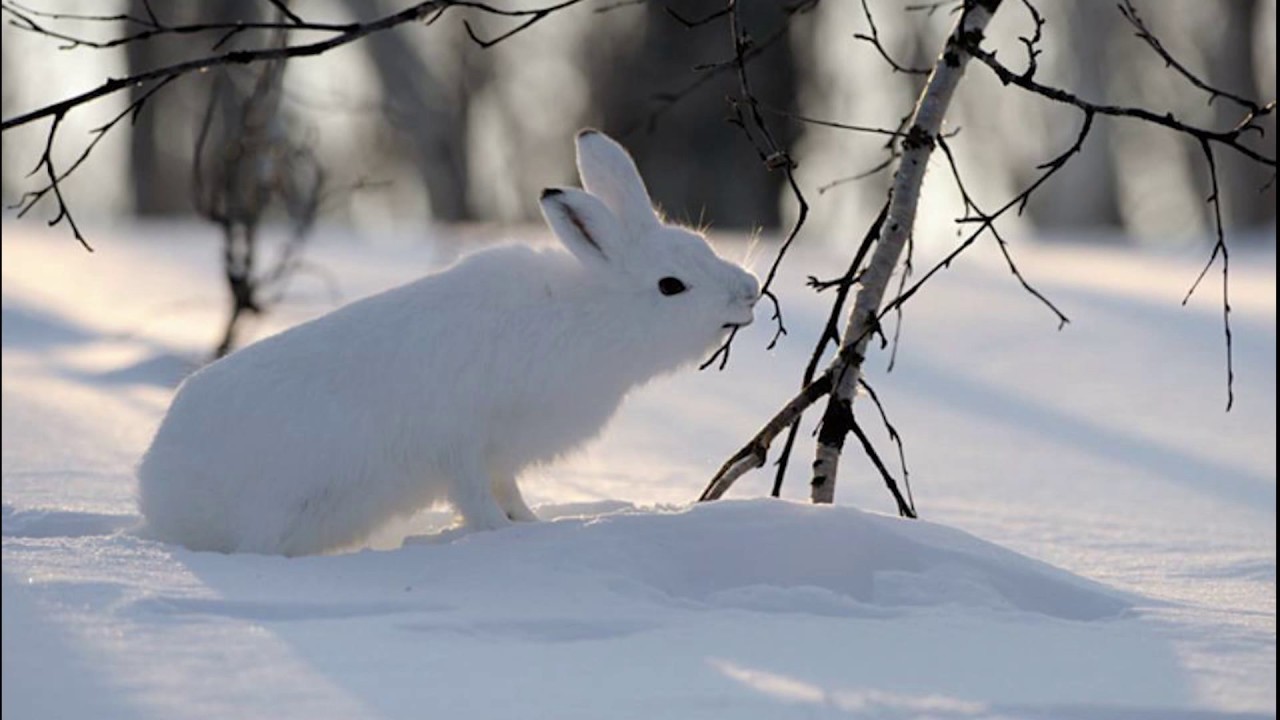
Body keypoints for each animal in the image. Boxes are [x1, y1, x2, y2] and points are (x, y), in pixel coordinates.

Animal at [136, 129, 761, 556]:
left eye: (702, 246)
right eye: (671, 286)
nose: (750, 292)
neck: (591, 315)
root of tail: (156, 488)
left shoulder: (500, 455)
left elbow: (509, 491)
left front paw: (533, 526)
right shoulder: (462, 444)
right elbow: (477, 498)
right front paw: (499, 536)